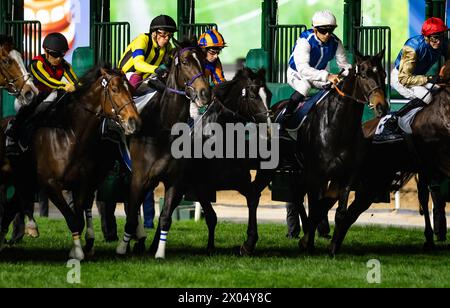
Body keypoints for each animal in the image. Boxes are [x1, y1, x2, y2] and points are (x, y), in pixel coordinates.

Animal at [0, 65, 141, 260]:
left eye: (131, 90)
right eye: (114, 89)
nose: (134, 121)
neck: (70, 137)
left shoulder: (81, 184)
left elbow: (79, 218)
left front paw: (77, 249)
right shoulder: (50, 184)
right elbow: (72, 219)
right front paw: (79, 252)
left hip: (25, 180)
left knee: (9, 207)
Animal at [251, 50, 388, 253]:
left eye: (384, 75)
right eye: (364, 75)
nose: (382, 106)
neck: (338, 127)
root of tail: (274, 109)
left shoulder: (347, 175)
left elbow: (338, 212)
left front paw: (332, 248)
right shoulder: (316, 174)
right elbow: (316, 208)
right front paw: (308, 242)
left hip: (299, 170)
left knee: (298, 196)